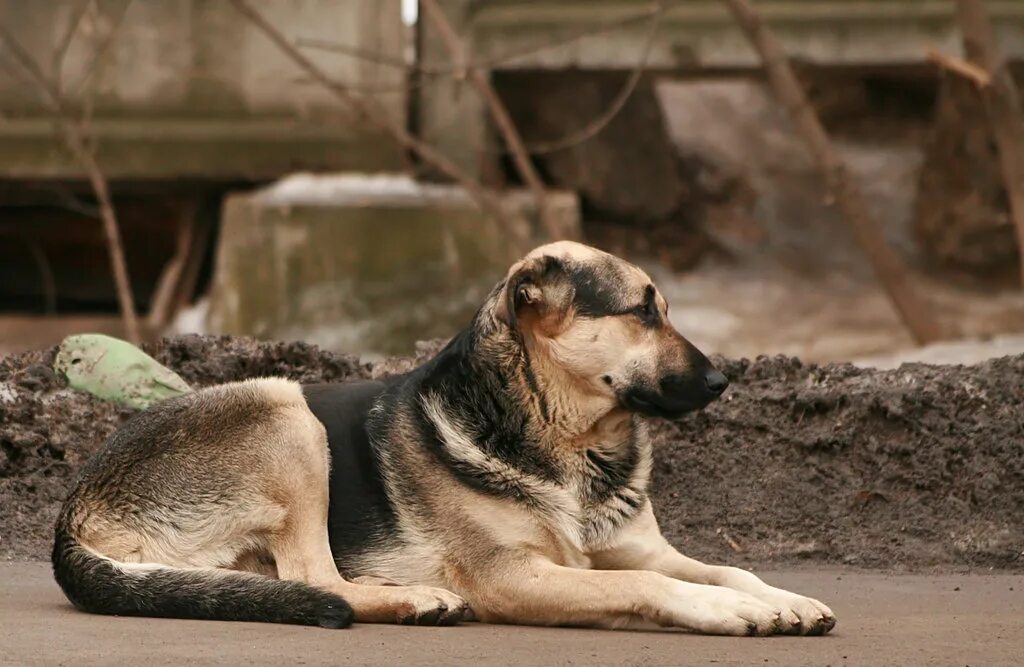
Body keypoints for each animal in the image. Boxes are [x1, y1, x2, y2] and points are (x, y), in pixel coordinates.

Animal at [54, 241, 831, 635]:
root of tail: (73, 512)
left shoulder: (645, 547)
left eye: (663, 309)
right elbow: (644, 582)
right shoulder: (513, 575)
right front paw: (730, 612)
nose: (723, 380)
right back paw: (412, 600)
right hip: (284, 409)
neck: (568, 439)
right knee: (318, 579)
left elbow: (725, 568)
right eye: (642, 312)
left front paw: (779, 597)